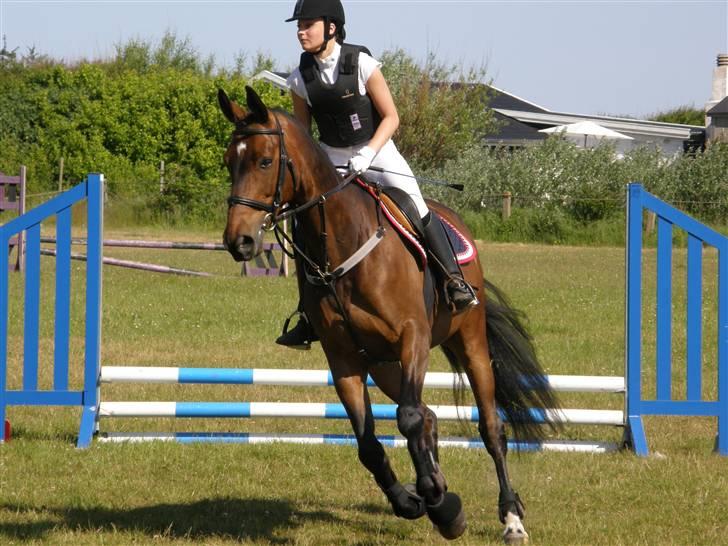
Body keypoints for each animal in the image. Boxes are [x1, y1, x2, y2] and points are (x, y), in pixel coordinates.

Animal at [219, 85, 560, 540]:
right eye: (229, 161)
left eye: (264, 161)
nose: (237, 241)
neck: (341, 240)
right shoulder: (344, 357)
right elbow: (370, 443)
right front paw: (417, 501)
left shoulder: (412, 337)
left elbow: (410, 419)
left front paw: (437, 499)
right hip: (382, 365)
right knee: (428, 416)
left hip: (468, 341)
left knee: (489, 426)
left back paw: (510, 517)